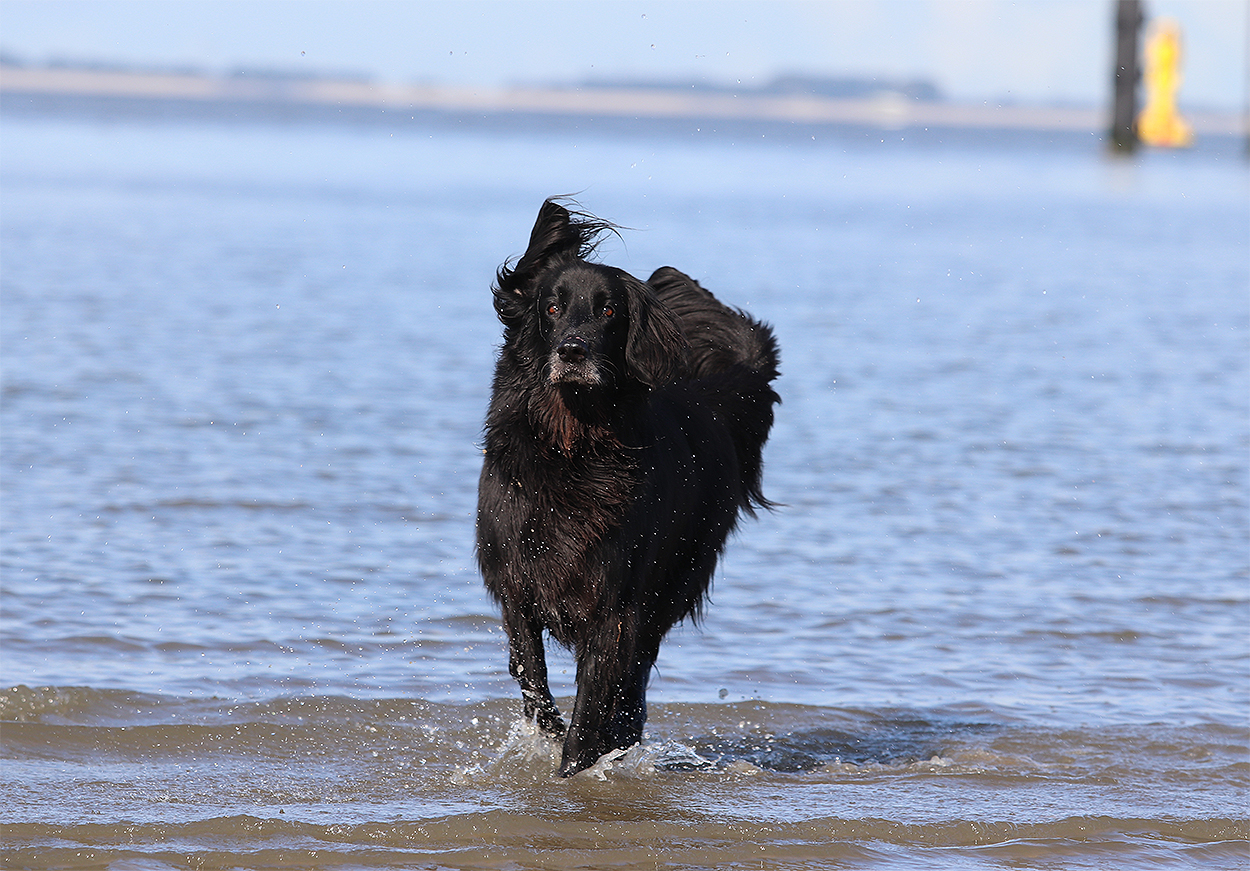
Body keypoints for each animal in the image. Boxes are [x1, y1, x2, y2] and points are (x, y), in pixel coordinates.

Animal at [476, 199, 780, 776]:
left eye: (609, 312)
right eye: (552, 308)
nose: (572, 351)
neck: (574, 446)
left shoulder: (616, 608)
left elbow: (593, 706)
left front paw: (578, 767)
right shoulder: (516, 586)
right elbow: (532, 680)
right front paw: (551, 740)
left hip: (669, 587)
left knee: (632, 688)